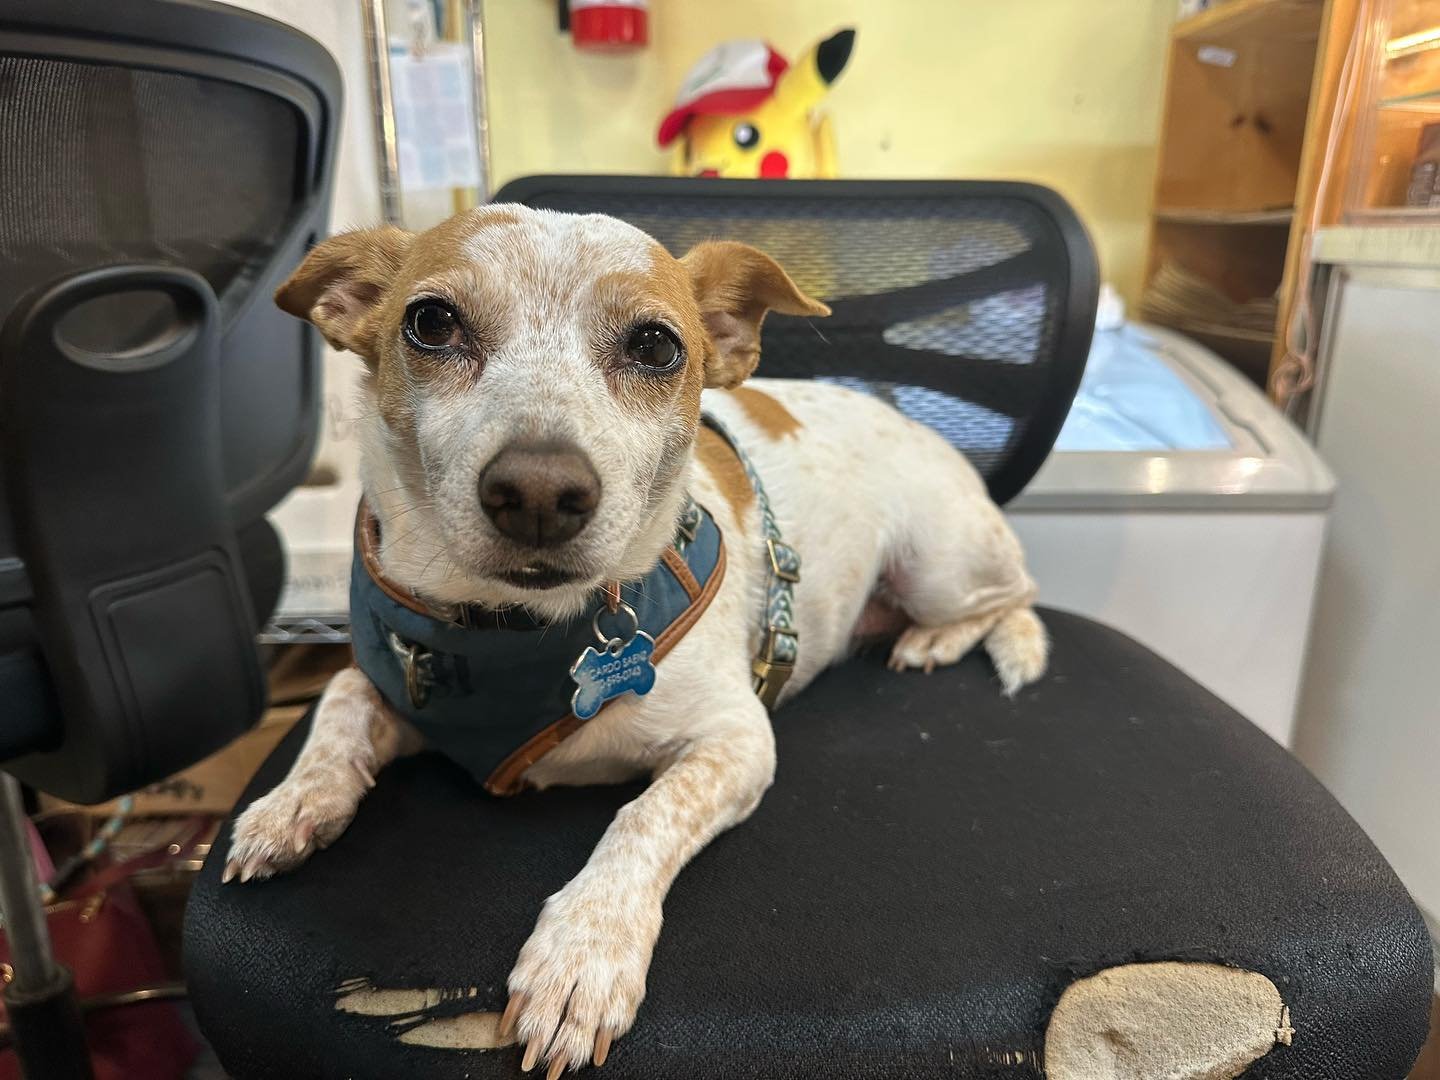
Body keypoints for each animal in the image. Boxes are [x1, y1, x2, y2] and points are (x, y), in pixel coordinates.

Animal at [224, 207, 1042, 1077]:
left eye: (655, 346)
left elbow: (640, 818)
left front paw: (583, 955)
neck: (517, 628)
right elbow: (341, 699)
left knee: (1018, 597)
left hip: (940, 564)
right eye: (432, 323)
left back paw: (942, 642)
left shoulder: (736, 741)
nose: (539, 493)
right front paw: (296, 799)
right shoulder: (399, 676)